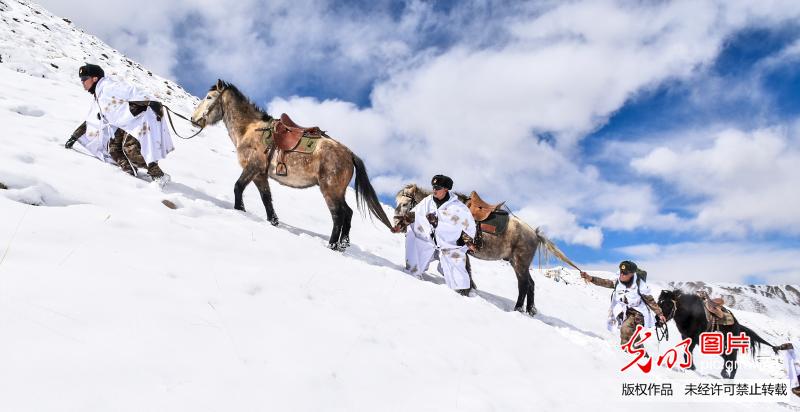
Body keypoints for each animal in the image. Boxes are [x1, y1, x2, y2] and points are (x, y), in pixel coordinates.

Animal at [194, 79, 394, 249]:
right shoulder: (260, 174)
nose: (194, 119)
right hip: (338, 191)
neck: (250, 129)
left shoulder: (252, 168)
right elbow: (266, 198)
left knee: (338, 215)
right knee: (349, 213)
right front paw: (273, 221)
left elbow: (238, 187)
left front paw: (239, 210)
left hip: (330, 190)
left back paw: (331, 245)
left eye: (209, 97)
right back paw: (343, 245)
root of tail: (350, 154)